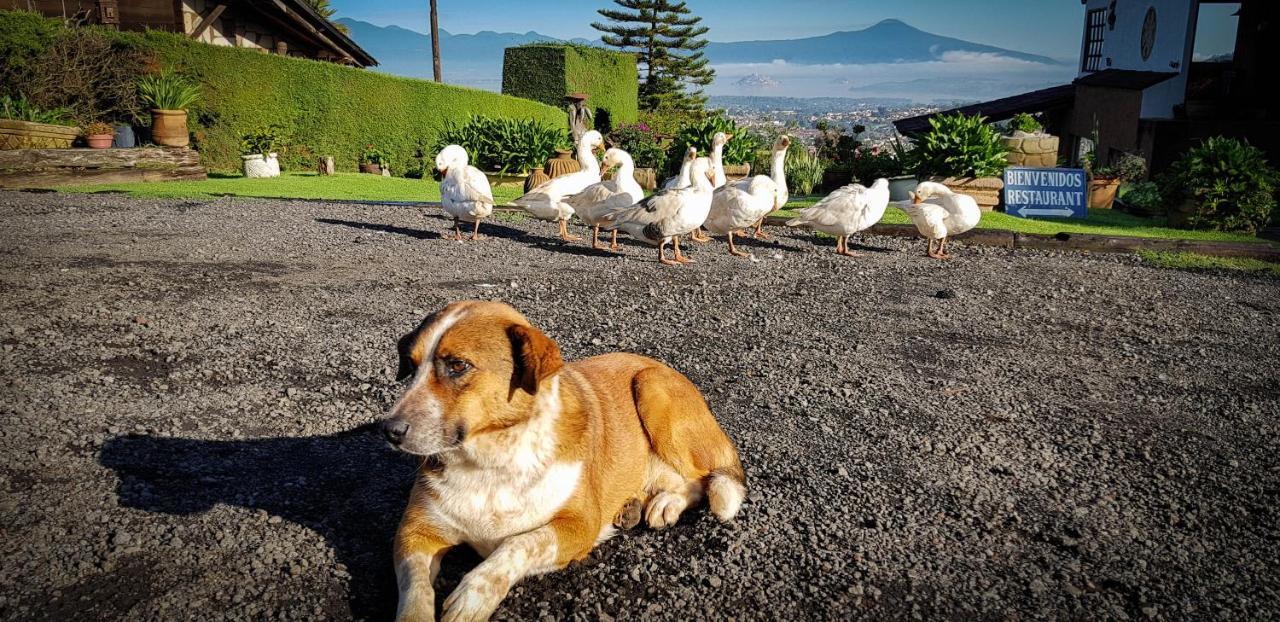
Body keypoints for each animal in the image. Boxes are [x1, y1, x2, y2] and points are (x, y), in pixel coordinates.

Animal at [376, 299, 742, 619]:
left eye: (457, 365)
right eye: (410, 365)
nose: (389, 430)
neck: (492, 459)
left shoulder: (578, 525)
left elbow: (519, 543)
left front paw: (473, 594)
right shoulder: (414, 532)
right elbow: (415, 590)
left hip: (650, 387)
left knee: (703, 478)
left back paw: (666, 503)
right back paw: (634, 506)